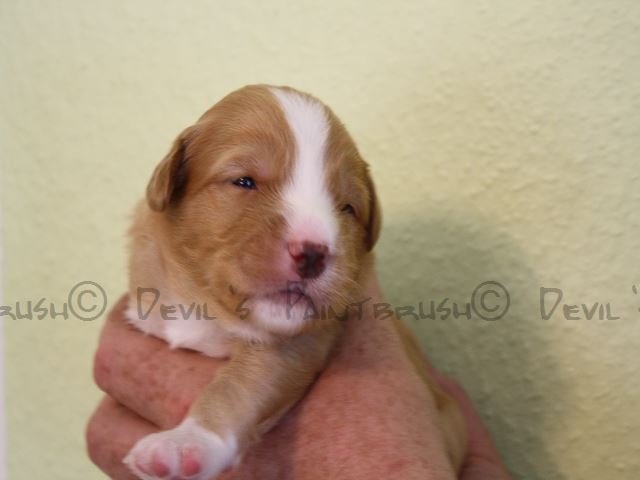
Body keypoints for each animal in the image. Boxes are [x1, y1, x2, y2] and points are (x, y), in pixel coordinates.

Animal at [123, 85, 466, 479]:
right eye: (244, 181)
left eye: (347, 207)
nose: (313, 253)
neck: (207, 310)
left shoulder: (299, 344)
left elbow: (239, 385)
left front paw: (186, 443)